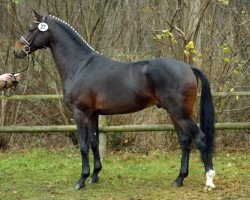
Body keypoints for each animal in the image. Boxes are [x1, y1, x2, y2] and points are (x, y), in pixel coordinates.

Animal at [13, 10, 216, 191]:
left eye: (31, 29)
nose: (16, 51)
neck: (80, 65)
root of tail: (188, 67)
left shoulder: (80, 114)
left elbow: (83, 145)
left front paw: (81, 180)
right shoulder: (93, 115)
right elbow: (94, 143)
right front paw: (95, 176)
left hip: (180, 114)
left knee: (200, 138)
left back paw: (209, 180)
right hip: (174, 114)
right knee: (185, 141)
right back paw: (179, 179)